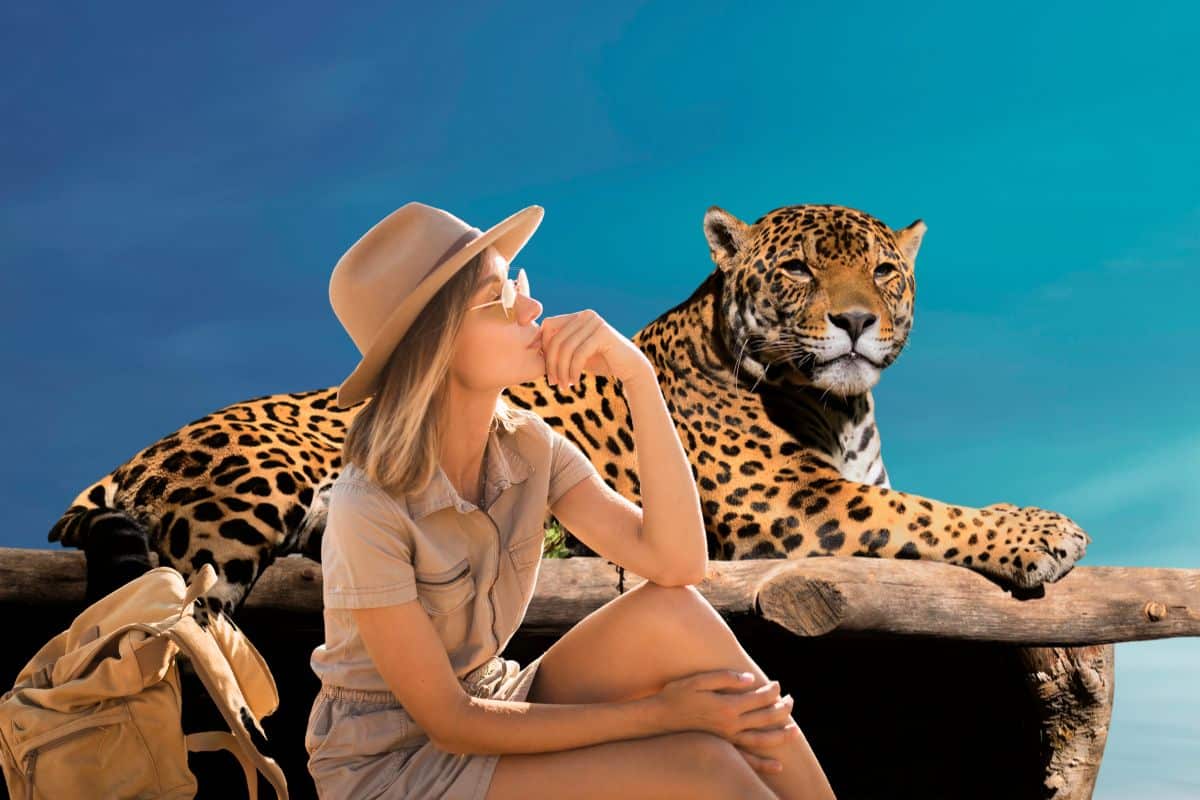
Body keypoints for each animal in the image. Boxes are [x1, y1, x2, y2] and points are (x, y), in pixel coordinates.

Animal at [49, 202, 1090, 627]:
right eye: (798, 269)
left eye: (882, 269)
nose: (857, 322)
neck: (842, 410)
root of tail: (138, 450)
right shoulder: (793, 502)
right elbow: (927, 515)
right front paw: (1043, 532)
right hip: (243, 505)